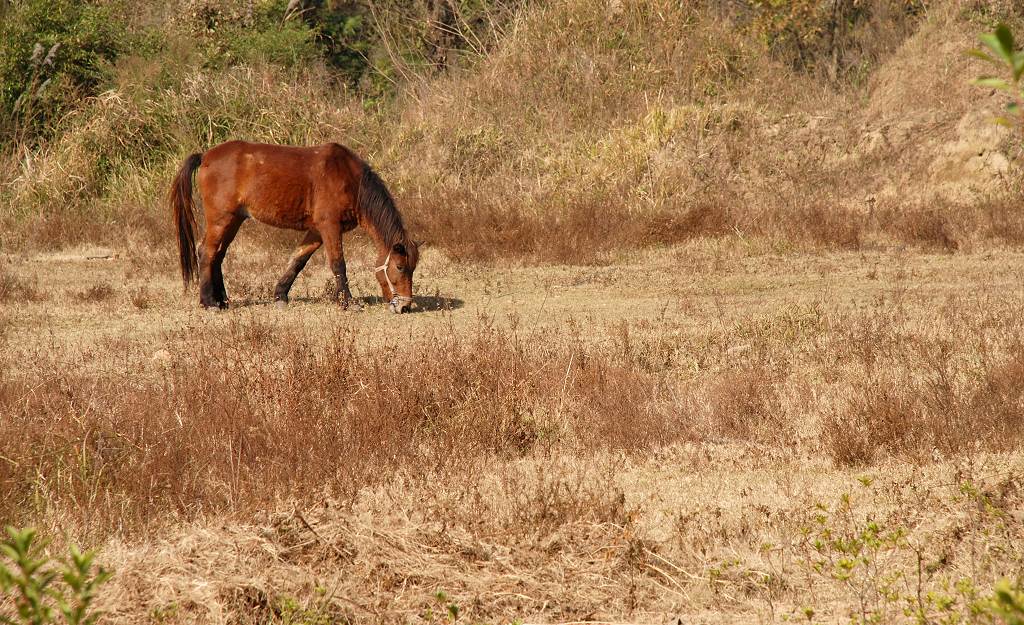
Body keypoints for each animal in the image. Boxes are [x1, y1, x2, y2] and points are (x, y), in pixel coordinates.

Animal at [167, 140, 419, 311]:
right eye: (399, 267)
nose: (404, 306)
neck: (348, 178)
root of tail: (205, 156)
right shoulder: (329, 227)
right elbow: (339, 265)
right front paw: (348, 302)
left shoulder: (316, 230)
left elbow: (298, 260)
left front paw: (280, 295)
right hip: (221, 220)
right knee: (206, 253)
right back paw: (209, 302)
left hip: (233, 221)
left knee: (218, 256)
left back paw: (222, 300)